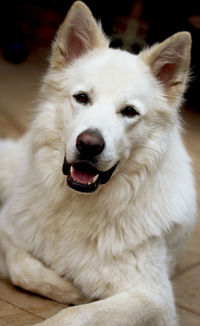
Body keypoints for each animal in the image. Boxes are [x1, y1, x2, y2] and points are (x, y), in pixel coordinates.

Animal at [0, 1, 196, 324]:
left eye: (129, 111)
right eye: (82, 97)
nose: (89, 145)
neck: (78, 207)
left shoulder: (152, 299)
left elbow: (71, 316)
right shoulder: (7, 227)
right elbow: (20, 265)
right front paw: (70, 289)